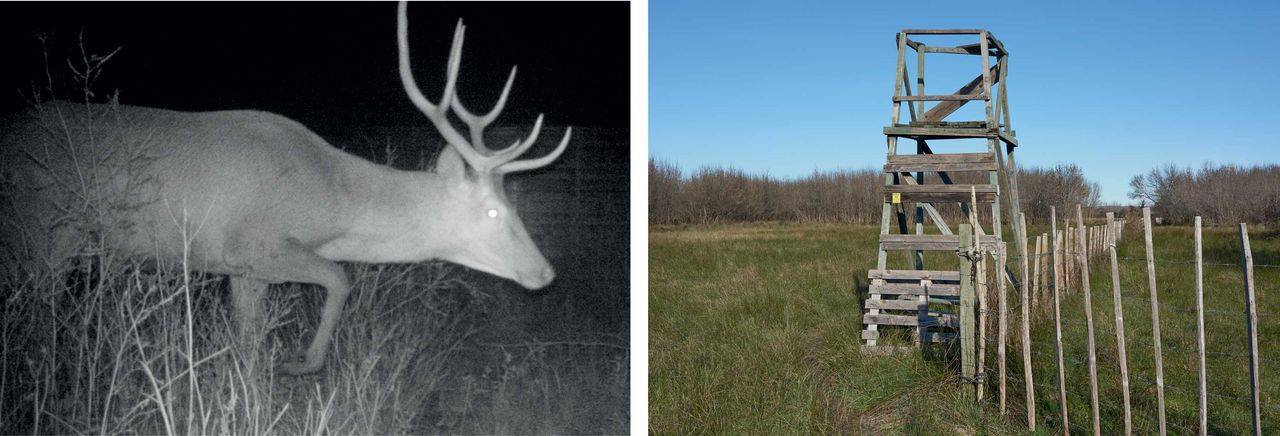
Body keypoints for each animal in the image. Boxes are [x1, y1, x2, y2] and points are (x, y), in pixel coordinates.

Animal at [0, 0, 570, 373]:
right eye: (494, 212)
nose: (545, 272)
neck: (329, 205)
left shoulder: (239, 269)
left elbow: (247, 345)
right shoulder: (254, 245)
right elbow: (340, 278)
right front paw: (302, 363)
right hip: (41, 237)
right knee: (36, 319)